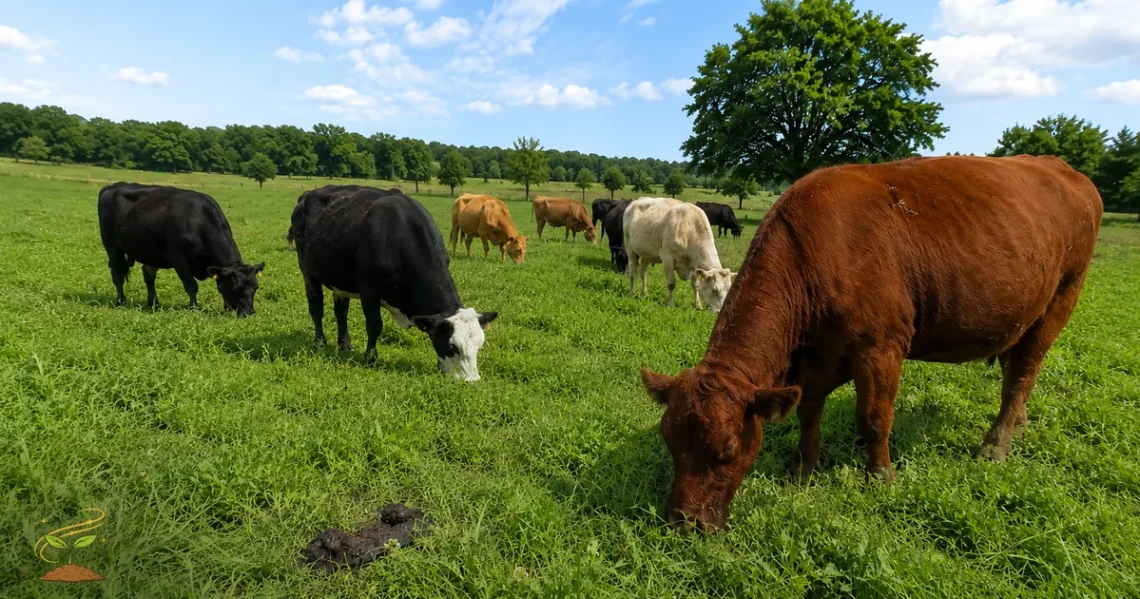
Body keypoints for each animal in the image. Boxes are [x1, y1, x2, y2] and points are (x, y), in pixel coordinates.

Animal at [97, 182, 265, 316]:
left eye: (255, 287)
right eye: (237, 286)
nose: (249, 312)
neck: (198, 220)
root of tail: (112, 186)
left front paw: (227, 308)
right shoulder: (178, 258)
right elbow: (191, 285)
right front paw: (194, 308)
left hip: (150, 251)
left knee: (148, 274)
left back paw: (153, 303)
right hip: (112, 246)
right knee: (117, 274)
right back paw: (121, 301)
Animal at [290, 185, 499, 382]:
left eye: (479, 345)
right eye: (452, 346)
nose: (471, 380)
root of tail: (307, 195)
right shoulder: (369, 292)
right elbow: (374, 326)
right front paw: (370, 359)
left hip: (340, 282)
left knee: (340, 311)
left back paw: (345, 344)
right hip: (308, 271)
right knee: (316, 308)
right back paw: (320, 342)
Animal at [639, 155, 1103, 533]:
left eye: (729, 448)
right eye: (669, 440)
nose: (685, 521)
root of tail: (1062, 167)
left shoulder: (881, 347)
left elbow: (875, 418)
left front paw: (880, 477)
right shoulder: (817, 358)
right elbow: (808, 413)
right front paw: (803, 469)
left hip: (1062, 297)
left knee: (1023, 374)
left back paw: (996, 444)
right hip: (1023, 315)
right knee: (1016, 370)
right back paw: (1018, 425)